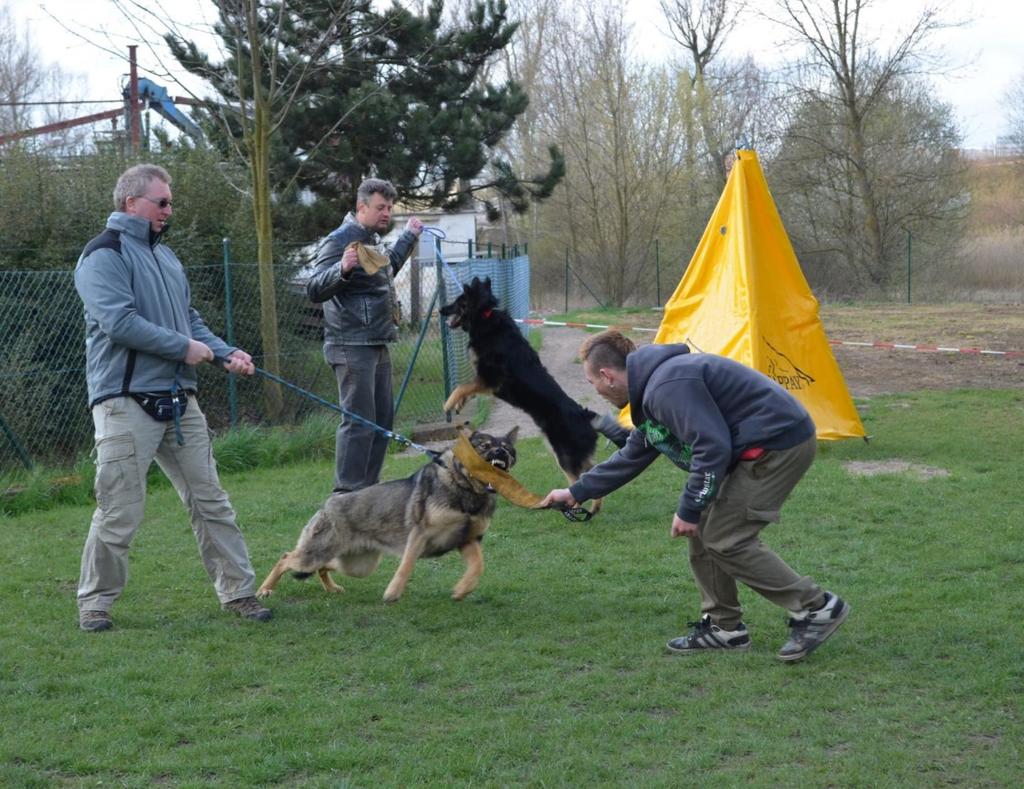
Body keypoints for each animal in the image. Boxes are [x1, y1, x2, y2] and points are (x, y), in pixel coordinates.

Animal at [252, 425, 516, 605]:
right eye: (484, 446)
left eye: (507, 448)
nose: (501, 451)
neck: (465, 489)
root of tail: (327, 504)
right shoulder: (419, 535)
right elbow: (406, 566)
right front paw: (392, 593)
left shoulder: (468, 540)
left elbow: (478, 567)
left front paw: (462, 590)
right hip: (318, 555)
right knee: (286, 558)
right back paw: (265, 589)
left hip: (357, 565)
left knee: (323, 567)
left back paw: (332, 589)